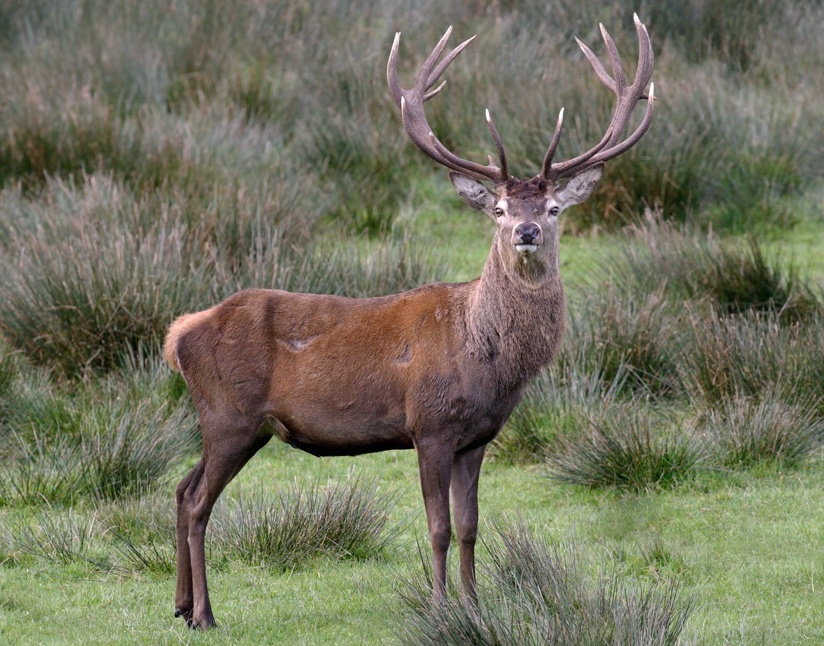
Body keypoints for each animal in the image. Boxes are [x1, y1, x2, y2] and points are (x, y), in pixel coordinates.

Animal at [166, 15, 656, 632]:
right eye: (499, 209)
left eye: (552, 209)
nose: (526, 232)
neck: (485, 356)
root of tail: (179, 333)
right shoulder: (430, 424)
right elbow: (439, 527)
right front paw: (441, 608)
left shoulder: (478, 437)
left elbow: (470, 527)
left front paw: (474, 607)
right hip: (229, 415)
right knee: (198, 501)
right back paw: (206, 614)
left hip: (230, 423)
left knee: (181, 488)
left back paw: (180, 606)